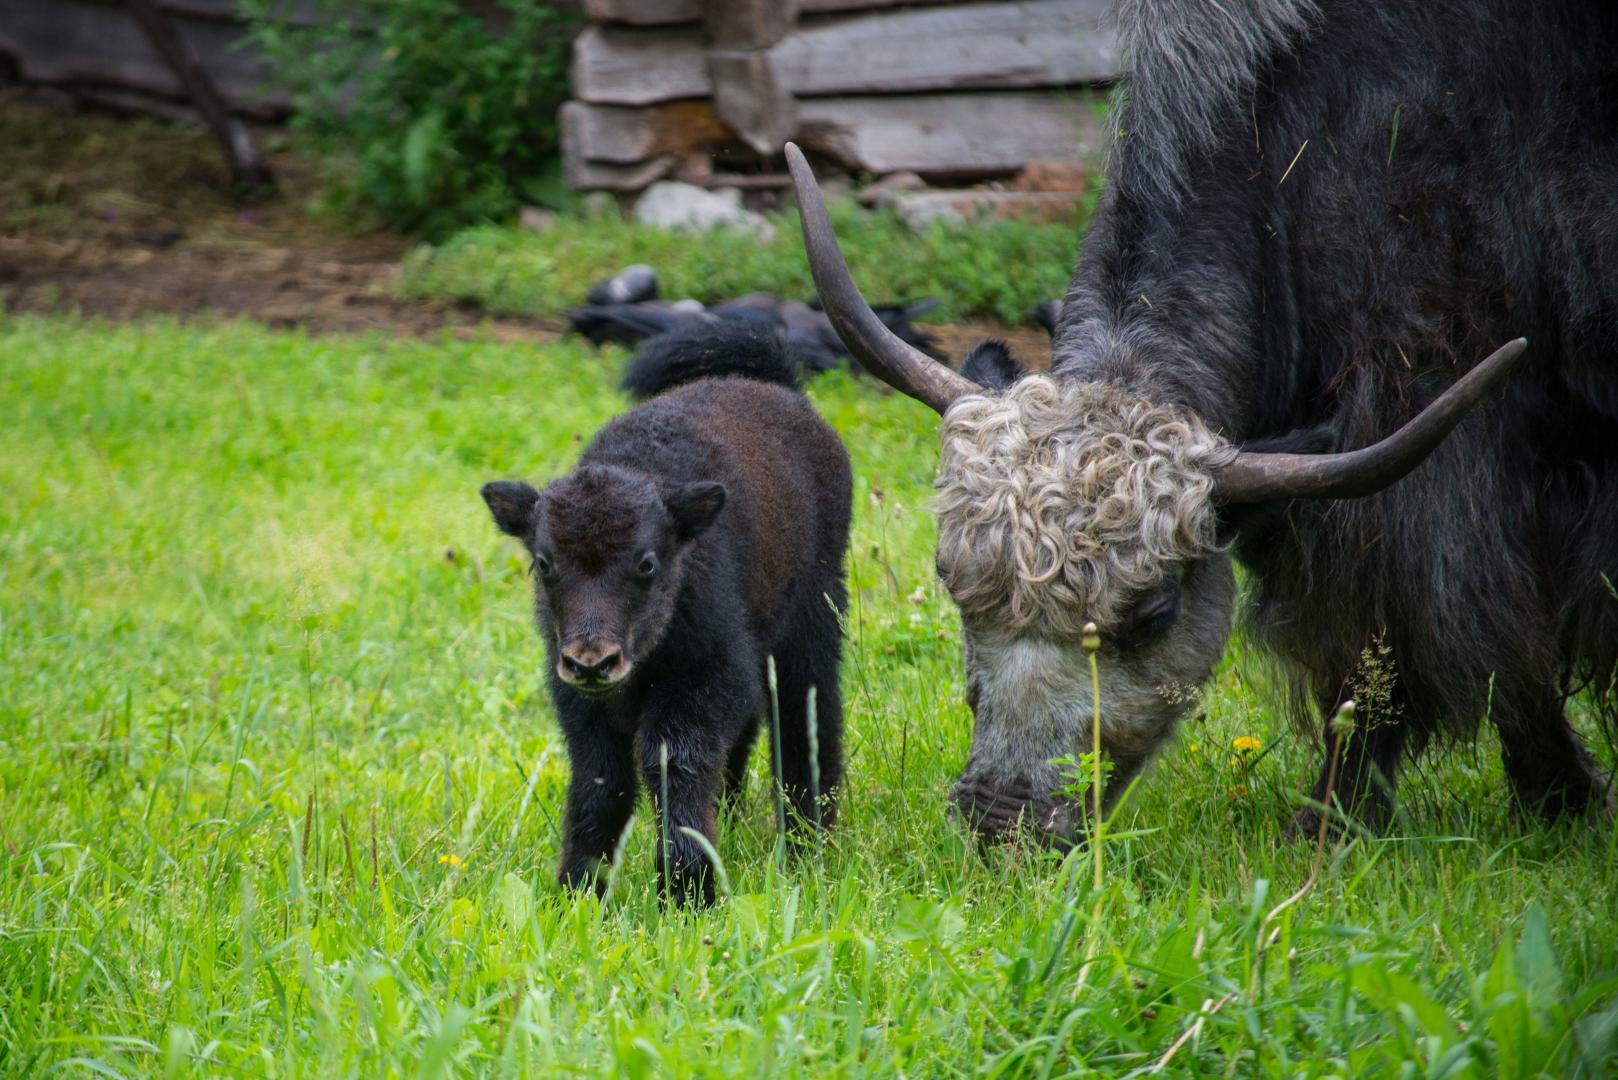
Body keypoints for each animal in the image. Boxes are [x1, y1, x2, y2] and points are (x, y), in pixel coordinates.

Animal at [478, 320, 854, 906]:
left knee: (806, 720)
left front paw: (688, 892)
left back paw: (807, 847)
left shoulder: (706, 680)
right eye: (544, 563)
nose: (592, 661)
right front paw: (578, 891)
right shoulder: (582, 703)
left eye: (647, 562)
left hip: (812, 620)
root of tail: (781, 390)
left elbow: (674, 764)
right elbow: (601, 781)